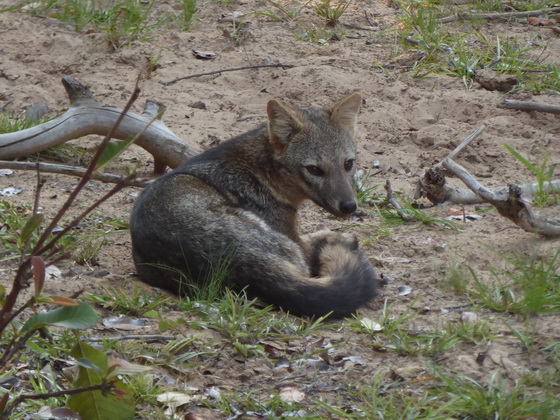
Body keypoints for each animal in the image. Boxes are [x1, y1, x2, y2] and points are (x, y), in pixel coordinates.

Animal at [129, 91, 378, 316]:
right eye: (314, 169)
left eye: (348, 164)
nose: (349, 206)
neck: (261, 170)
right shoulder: (293, 238)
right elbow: (317, 240)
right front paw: (340, 238)